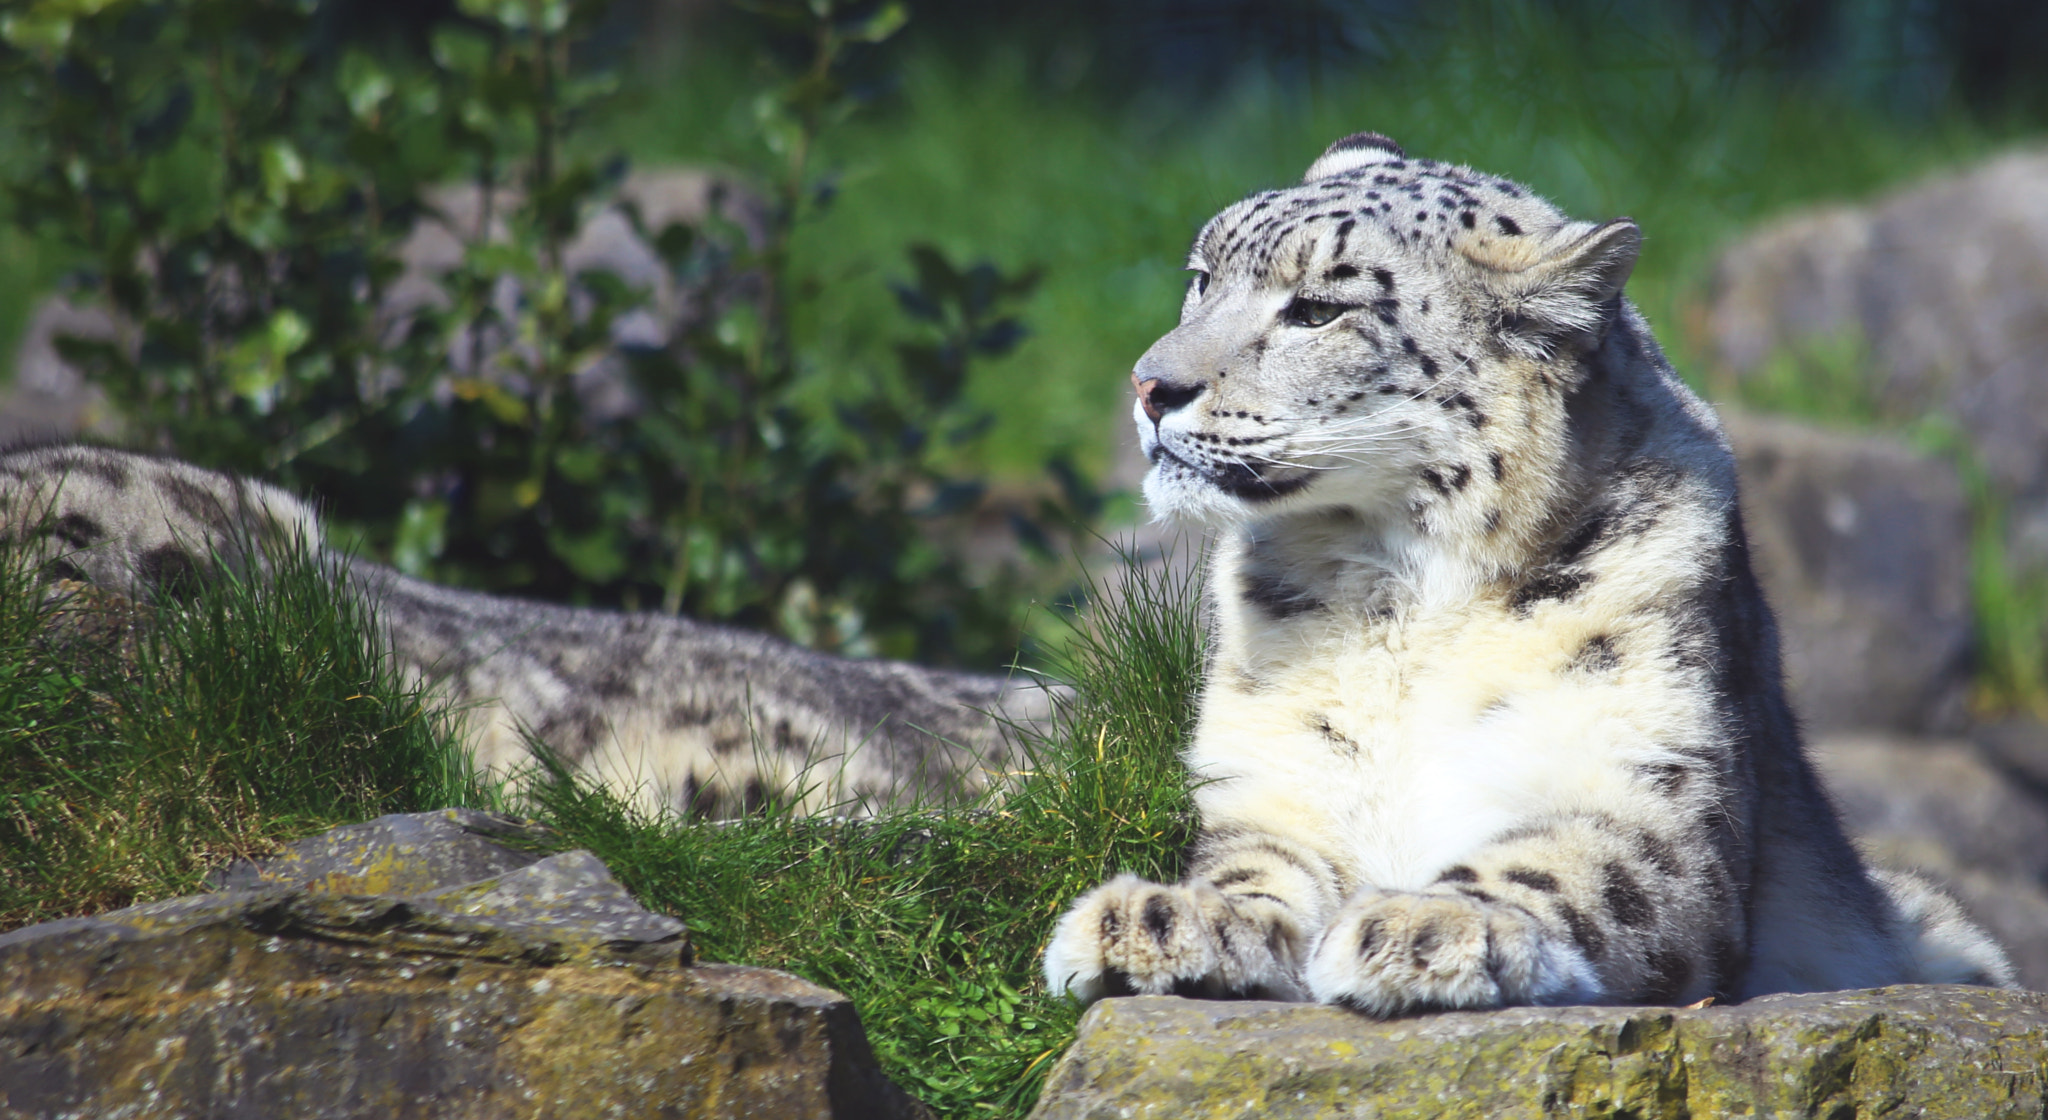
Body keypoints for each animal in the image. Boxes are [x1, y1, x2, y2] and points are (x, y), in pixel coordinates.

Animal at [1042, 132, 2014, 1015]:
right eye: (1204, 276)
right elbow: (1254, 869)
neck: (1398, 595)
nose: (1149, 385)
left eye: (1318, 310)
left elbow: (1569, 868)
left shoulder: (1641, 782)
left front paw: (1430, 924)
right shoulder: (1278, 781)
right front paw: (1160, 919)